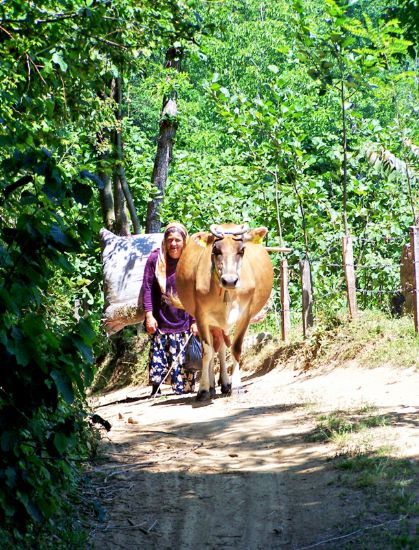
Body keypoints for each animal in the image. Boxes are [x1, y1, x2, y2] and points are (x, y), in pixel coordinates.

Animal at [176, 223, 274, 402]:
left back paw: (225, 383)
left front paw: (236, 386)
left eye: (241, 250)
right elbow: (206, 352)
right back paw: (213, 385)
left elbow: (236, 348)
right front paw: (203, 389)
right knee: (215, 350)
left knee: (221, 348)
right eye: (216, 250)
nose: (229, 280)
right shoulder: (201, 317)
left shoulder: (245, 315)